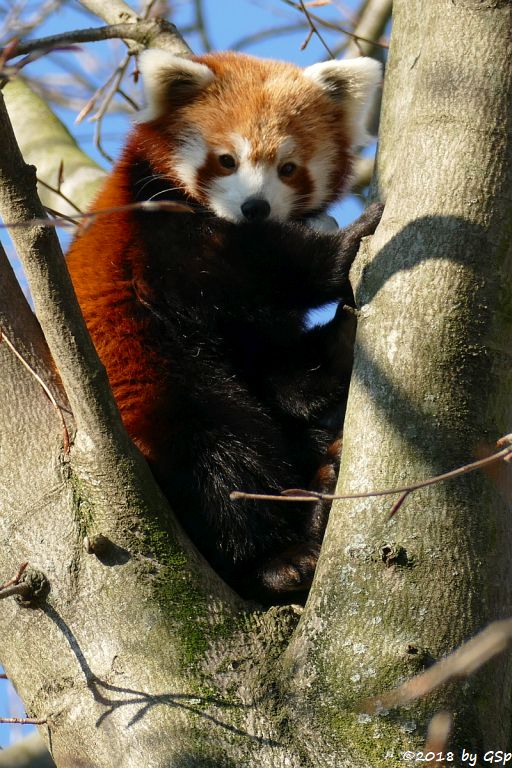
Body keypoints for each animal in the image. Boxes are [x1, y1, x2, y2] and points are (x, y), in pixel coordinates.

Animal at [66, 51, 382, 604]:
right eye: (226, 160)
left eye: (288, 168)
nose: (256, 207)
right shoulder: (152, 239)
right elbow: (238, 278)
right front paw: (343, 246)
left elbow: (277, 367)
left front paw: (333, 351)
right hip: (157, 392)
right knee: (218, 454)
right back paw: (278, 560)